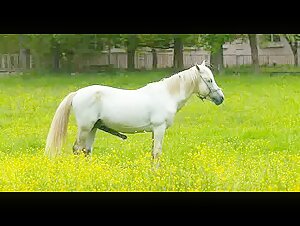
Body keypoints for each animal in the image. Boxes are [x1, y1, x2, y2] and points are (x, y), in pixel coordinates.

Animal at [44, 60, 223, 162]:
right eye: (209, 80)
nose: (220, 98)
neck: (167, 94)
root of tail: (78, 93)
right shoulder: (159, 128)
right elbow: (157, 153)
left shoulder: (155, 131)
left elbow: (153, 153)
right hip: (85, 128)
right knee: (77, 149)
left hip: (93, 128)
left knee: (86, 151)